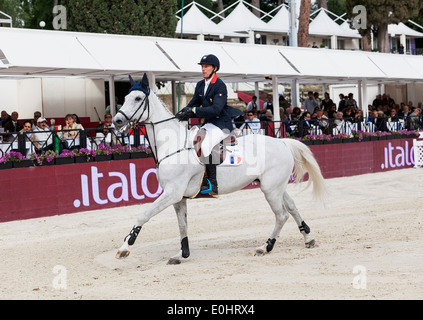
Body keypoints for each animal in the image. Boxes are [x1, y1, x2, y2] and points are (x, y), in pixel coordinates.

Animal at [114, 74, 326, 264]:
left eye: (138, 98)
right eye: (124, 98)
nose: (117, 121)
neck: (172, 145)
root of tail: (282, 142)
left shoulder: (172, 193)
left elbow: (144, 214)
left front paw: (124, 247)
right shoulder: (178, 198)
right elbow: (182, 225)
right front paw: (182, 254)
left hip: (270, 189)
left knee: (281, 215)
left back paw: (265, 247)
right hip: (275, 187)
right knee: (292, 207)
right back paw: (308, 238)